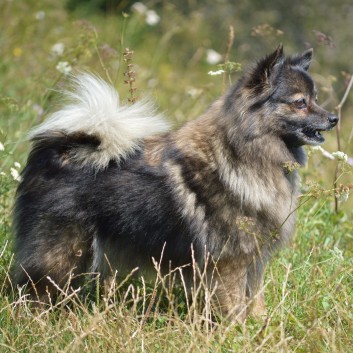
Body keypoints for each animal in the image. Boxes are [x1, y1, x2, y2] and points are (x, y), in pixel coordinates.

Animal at [11, 44, 336, 320]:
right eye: (300, 103)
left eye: (316, 99)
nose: (334, 118)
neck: (244, 152)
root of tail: (60, 150)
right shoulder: (229, 262)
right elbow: (234, 305)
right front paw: (238, 332)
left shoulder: (253, 260)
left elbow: (255, 300)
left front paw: (259, 326)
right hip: (61, 252)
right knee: (35, 291)